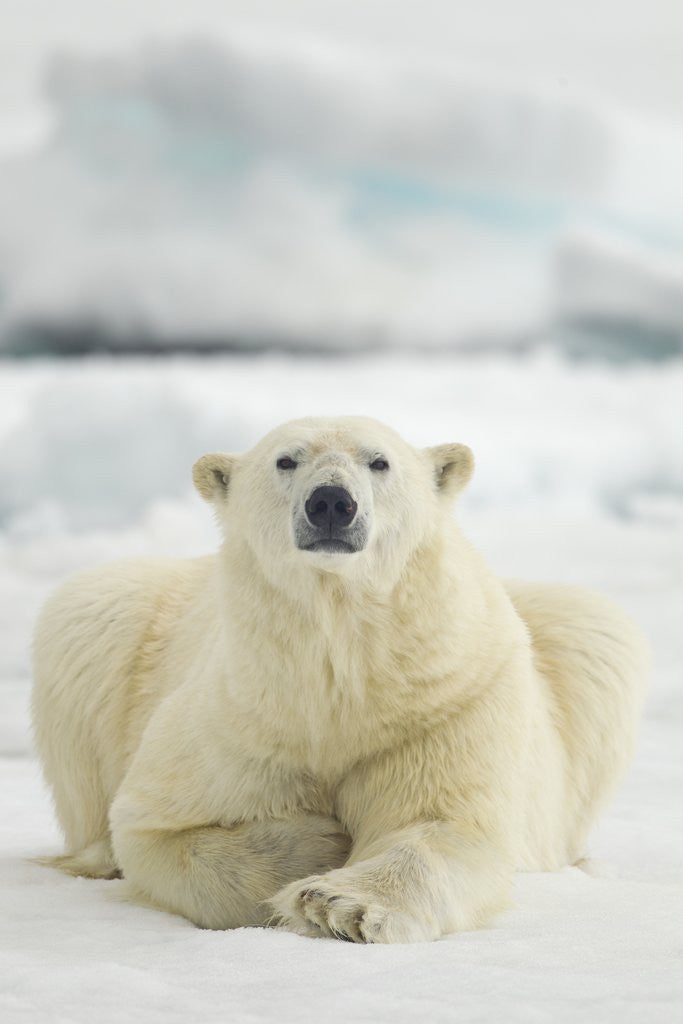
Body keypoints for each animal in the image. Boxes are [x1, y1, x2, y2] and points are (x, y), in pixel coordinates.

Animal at [31, 415, 648, 943]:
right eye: (285, 459)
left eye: (380, 461)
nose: (331, 502)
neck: (342, 672)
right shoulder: (239, 716)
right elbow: (156, 829)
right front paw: (320, 842)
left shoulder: (446, 703)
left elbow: (443, 823)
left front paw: (338, 904)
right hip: (114, 616)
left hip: (573, 641)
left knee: (593, 630)